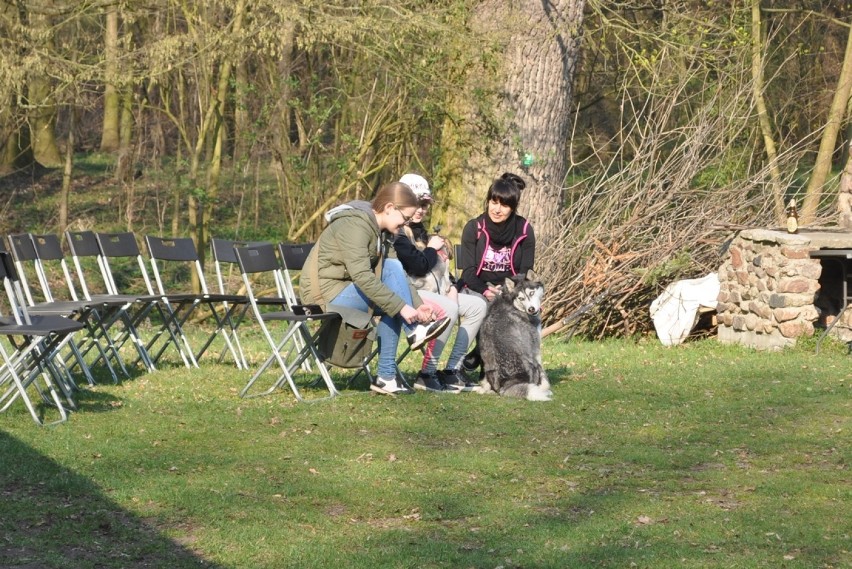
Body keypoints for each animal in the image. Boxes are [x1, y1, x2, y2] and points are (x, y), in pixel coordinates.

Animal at [476, 270, 548, 400]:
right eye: (521, 298)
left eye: (531, 293)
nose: (531, 309)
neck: (510, 302)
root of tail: (507, 383)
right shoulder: (535, 347)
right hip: (533, 364)